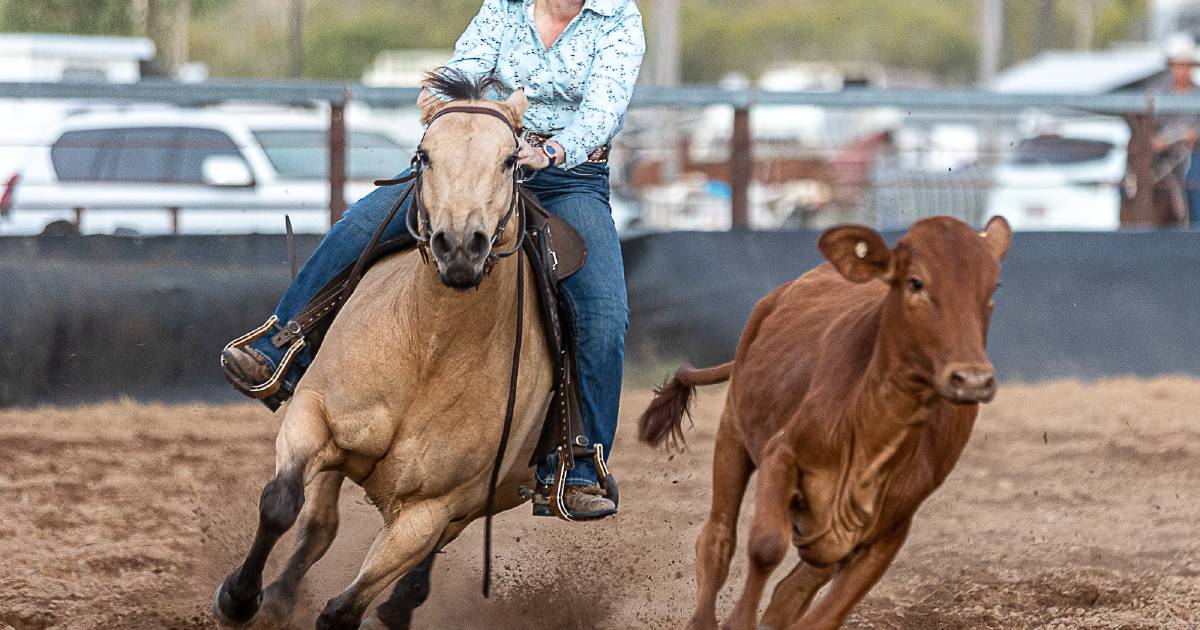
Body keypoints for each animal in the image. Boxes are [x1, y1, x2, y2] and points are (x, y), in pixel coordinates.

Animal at [643, 216, 1008, 628]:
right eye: (916, 282)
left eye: (992, 287)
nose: (972, 379)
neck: (871, 433)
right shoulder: (781, 454)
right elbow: (766, 546)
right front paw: (739, 620)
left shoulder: (893, 525)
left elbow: (826, 609)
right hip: (733, 432)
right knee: (718, 538)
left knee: (796, 585)